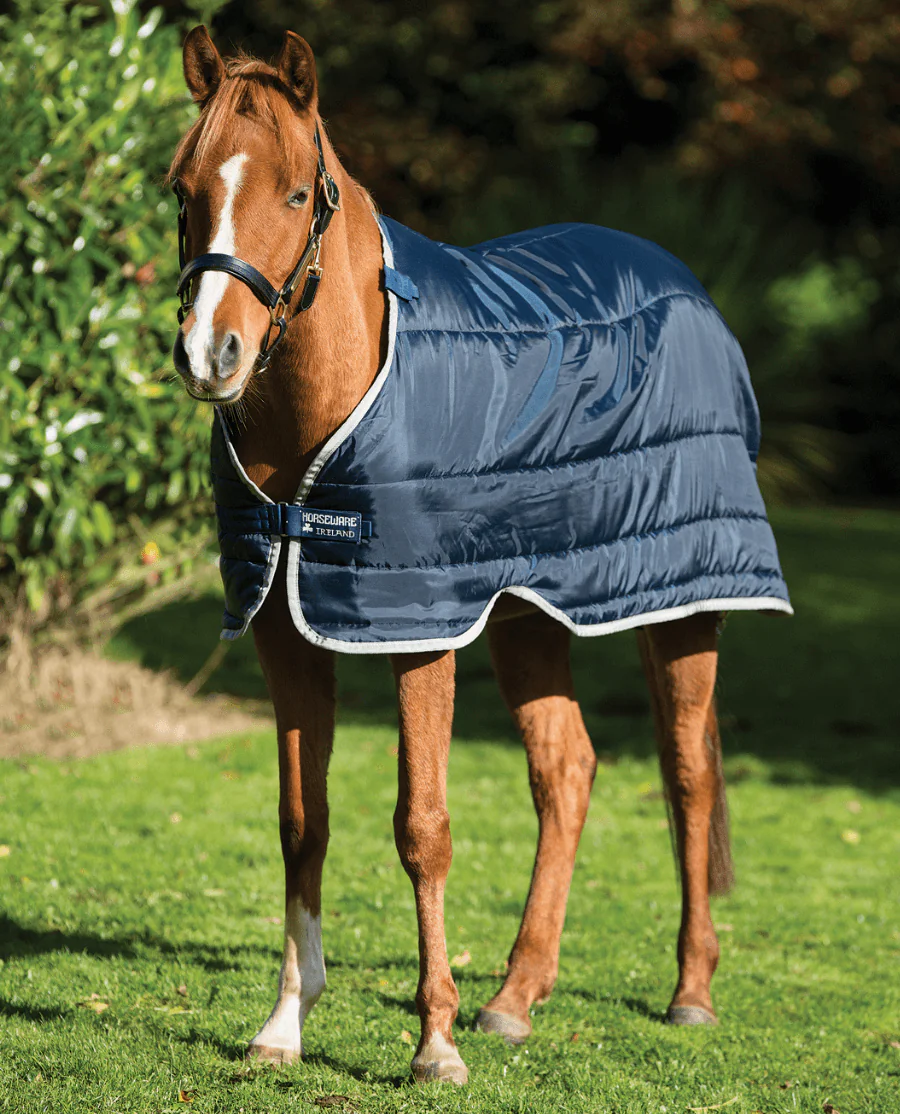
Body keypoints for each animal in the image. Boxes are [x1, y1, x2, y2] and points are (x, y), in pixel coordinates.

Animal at [168, 27, 791, 1084]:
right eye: (183, 190)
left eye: (293, 194)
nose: (213, 354)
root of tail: (685, 285)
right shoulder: (287, 632)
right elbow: (302, 823)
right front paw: (284, 1026)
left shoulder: (420, 633)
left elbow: (423, 828)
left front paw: (434, 1044)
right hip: (528, 615)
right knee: (567, 772)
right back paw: (516, 998)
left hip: (683, 604)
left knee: (687, 776)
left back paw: (690, 992)